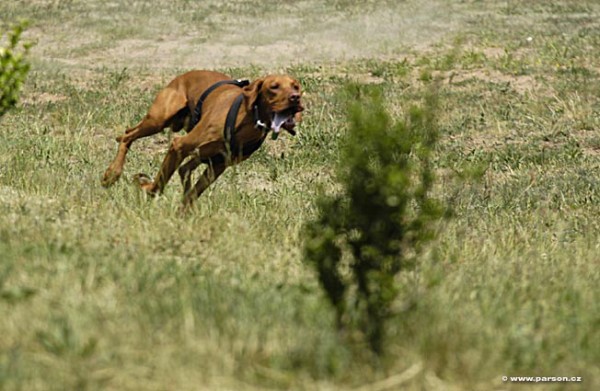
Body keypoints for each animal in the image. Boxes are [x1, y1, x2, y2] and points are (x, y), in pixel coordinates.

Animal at [101, 70, 304, 211]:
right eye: (274, 87)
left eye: (296, 86)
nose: (296, 98)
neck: (247, 121)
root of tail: (184, 75)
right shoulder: (178, 146)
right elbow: (158, 185)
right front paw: (145, 186)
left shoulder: (217, 166)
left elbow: (191, 195)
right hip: (158, 120)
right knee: (128, 135)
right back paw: (111, 174)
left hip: (196, 151)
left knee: (184, 169)